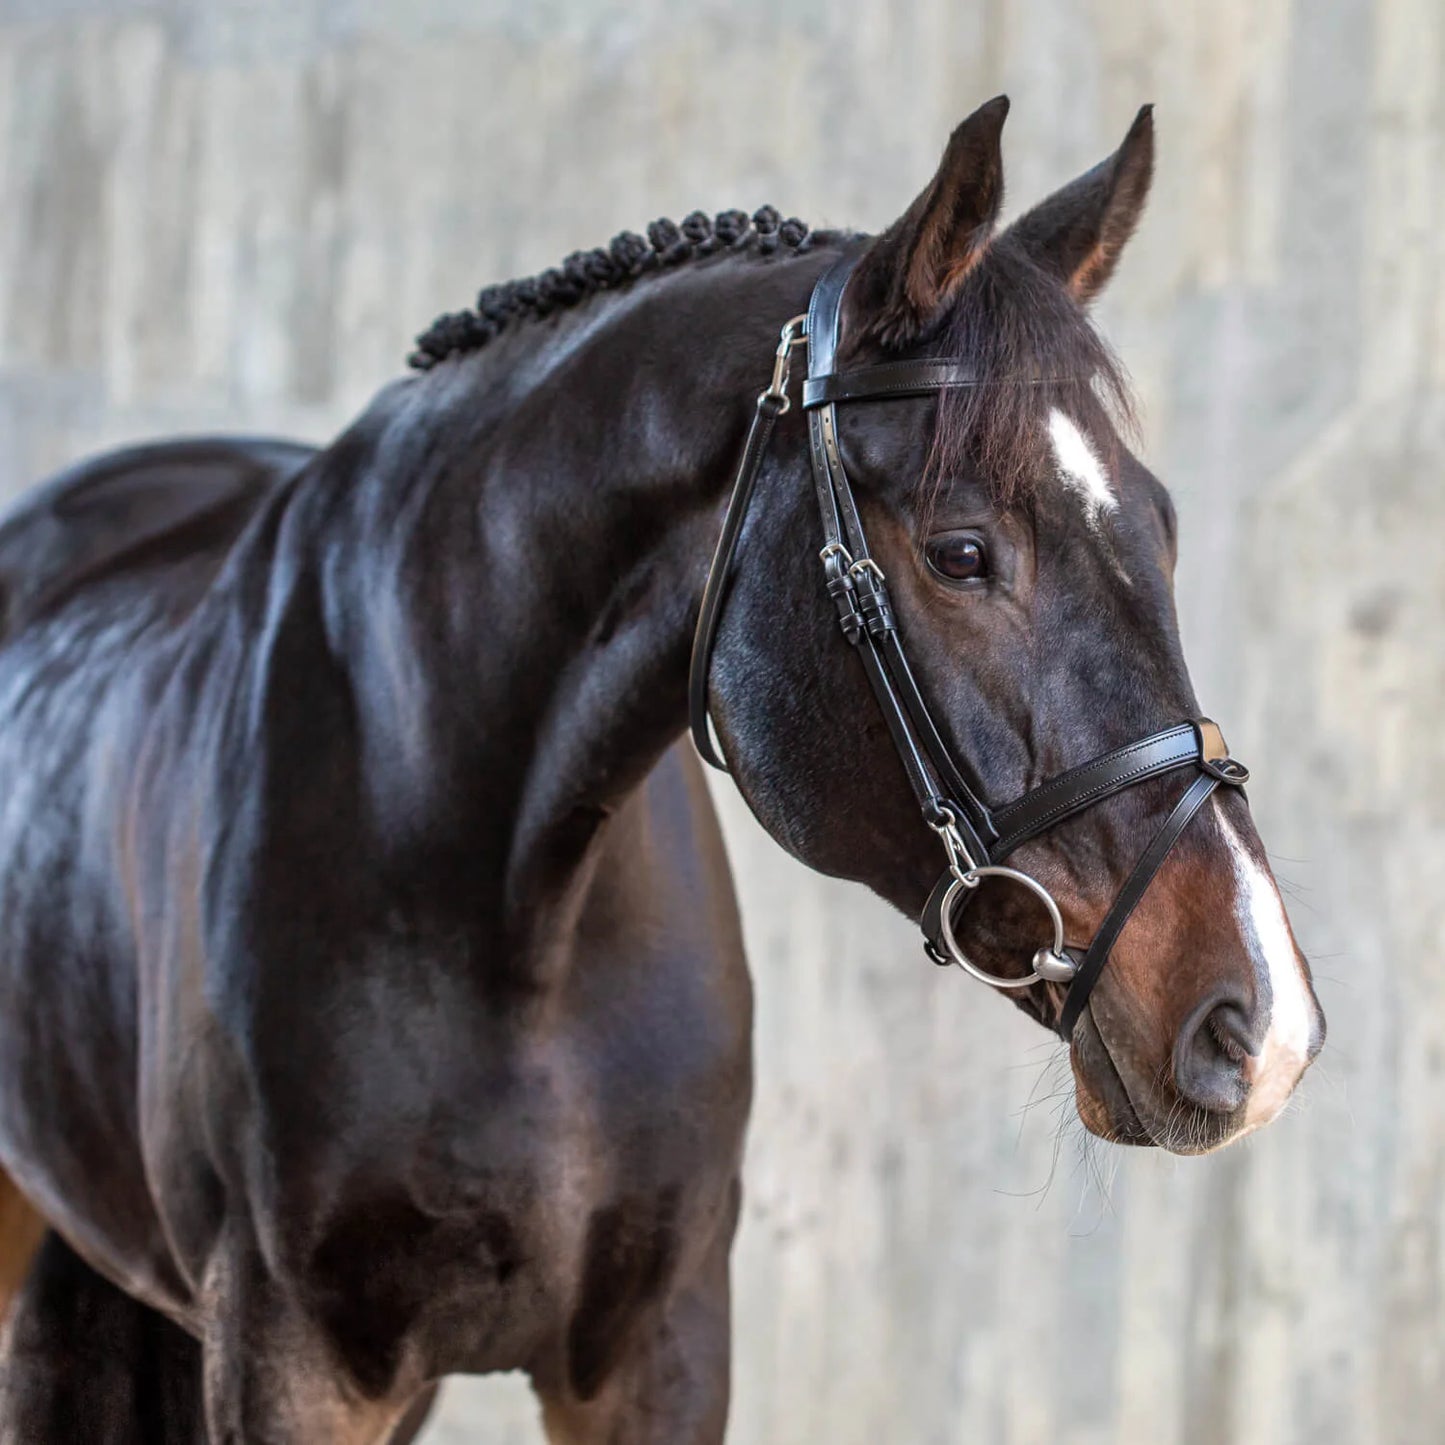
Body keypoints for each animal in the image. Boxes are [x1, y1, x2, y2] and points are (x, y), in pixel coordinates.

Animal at [0, 96, 1323, 1439]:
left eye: (1159, 530)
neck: (497, 903)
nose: (1259, 1024)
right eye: (961, 552)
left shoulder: (661, 1343)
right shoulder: (290, 1361)